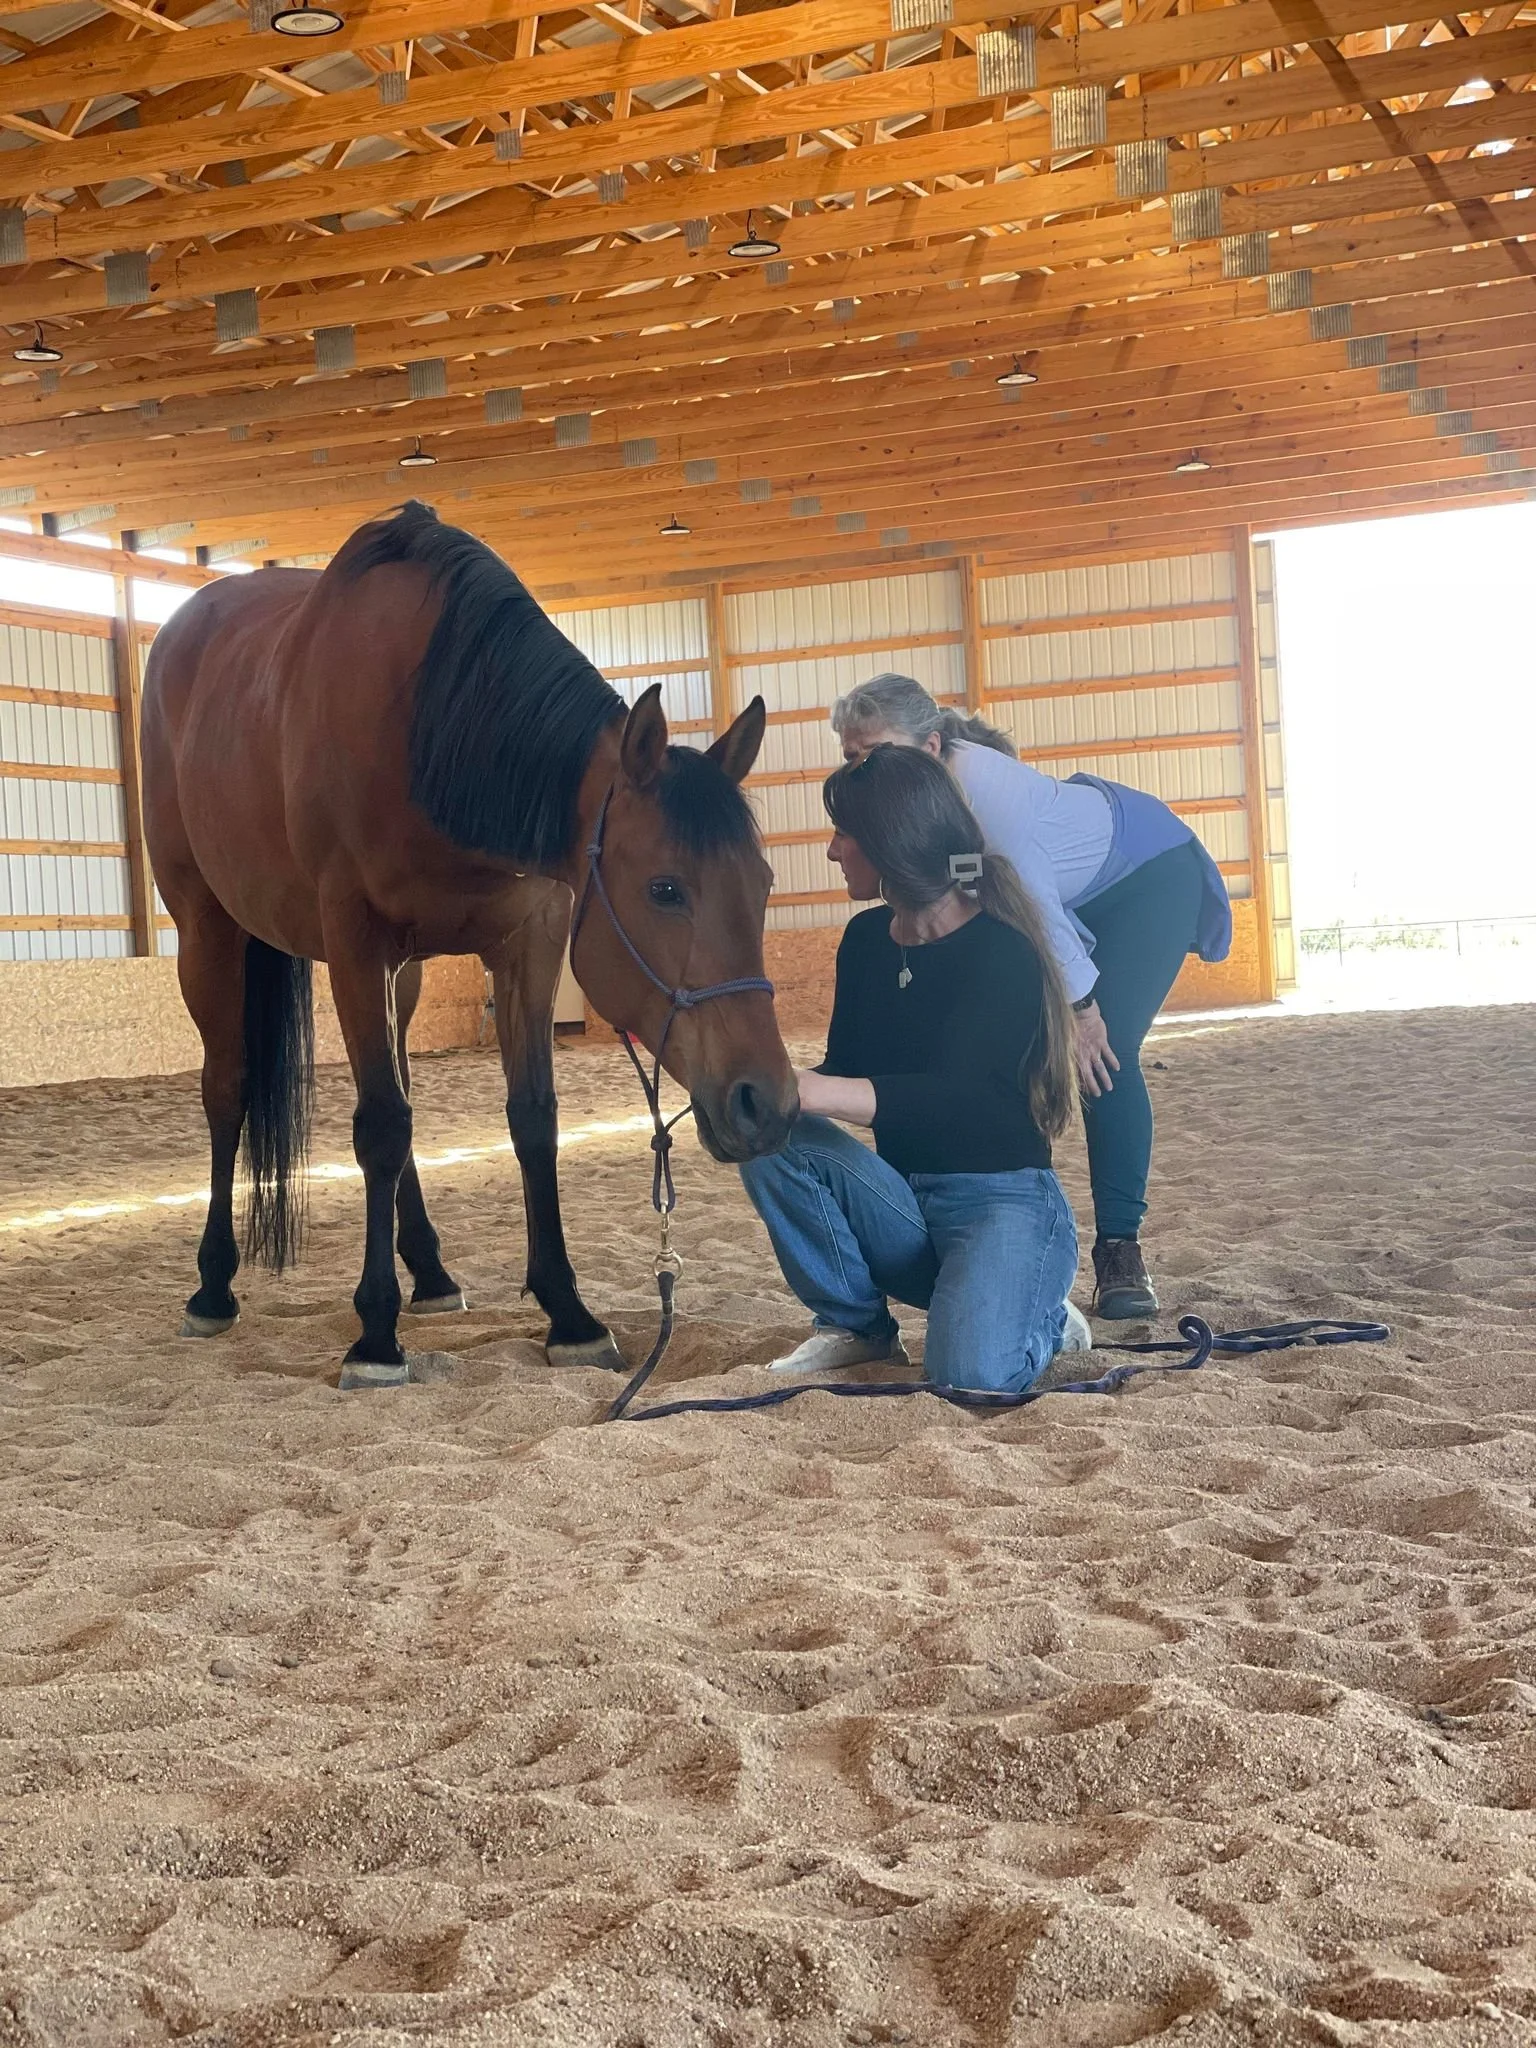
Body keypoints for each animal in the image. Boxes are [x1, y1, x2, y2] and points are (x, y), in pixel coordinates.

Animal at [140, 501, 797, 1389]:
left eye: (761, 885)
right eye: (666, 889)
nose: (770, 1104)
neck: (432, 725)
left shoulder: (529, 942)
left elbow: (530, 1118)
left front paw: (569, 1312)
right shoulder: (356, 942)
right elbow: (380, 1127)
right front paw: (375, 1336)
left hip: (403, 976)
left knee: (403, 1084)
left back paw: (429, 1269)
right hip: (208, 931)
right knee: (228, 1091)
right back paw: (213, 1286)